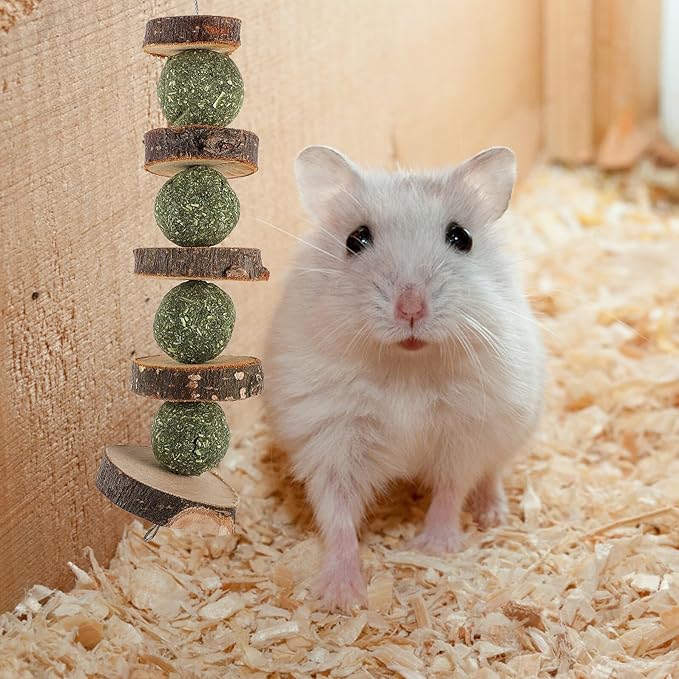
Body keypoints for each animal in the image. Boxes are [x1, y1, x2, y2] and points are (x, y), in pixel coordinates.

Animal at [263, 145, 545, 611]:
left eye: (461, 238)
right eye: (355, 240)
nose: (410, 308)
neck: (407, 368)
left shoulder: (465, 432)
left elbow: (451, 488)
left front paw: (435, 548)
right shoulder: (332, 439)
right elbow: (337, 516)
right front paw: (341, 597)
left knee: (491, 473)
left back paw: (491, 514)